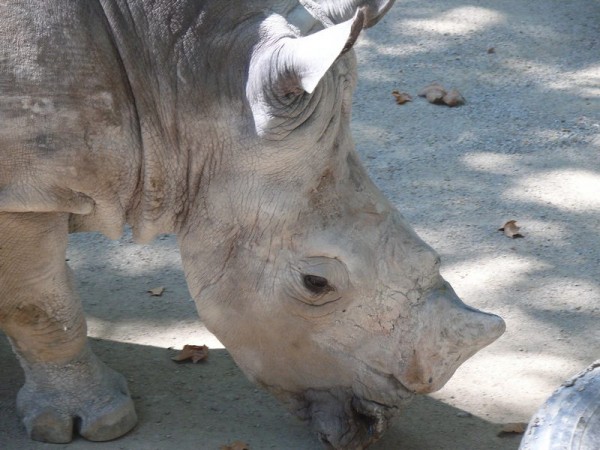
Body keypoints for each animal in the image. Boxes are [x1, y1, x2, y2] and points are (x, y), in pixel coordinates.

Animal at [0, 0, 505, 448]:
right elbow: (43, 306)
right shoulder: (26, 196)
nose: (372, 428)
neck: (172, 78)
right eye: (315, 283)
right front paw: (97, 425)